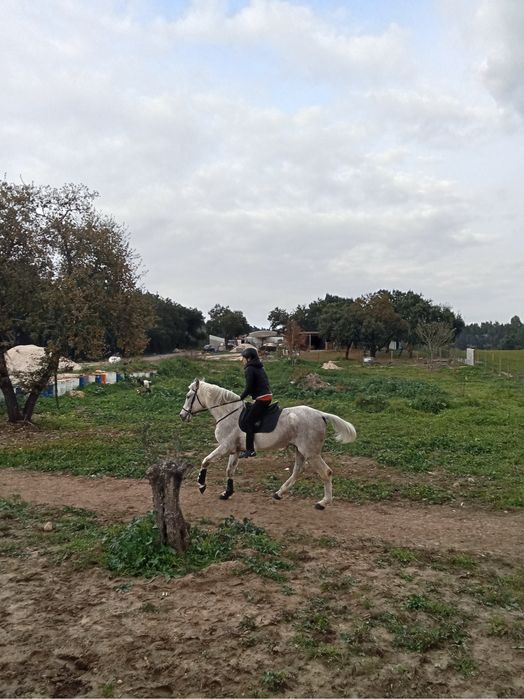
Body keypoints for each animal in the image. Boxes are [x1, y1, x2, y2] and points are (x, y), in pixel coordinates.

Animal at [179, 378, 357, 509]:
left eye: (188, 396)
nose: (182, 416)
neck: (228, 413)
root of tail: (321, 414)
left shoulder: (225, 447)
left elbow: (206, 460)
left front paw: (201, 485)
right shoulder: (234, 450)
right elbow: (230, 471)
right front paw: (227, 493)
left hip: (311, 453)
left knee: (326, 472)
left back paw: (322, 503)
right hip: (300, 450)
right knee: (297, 471)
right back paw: (279, 493)